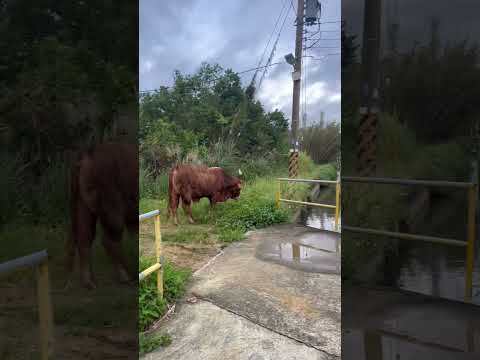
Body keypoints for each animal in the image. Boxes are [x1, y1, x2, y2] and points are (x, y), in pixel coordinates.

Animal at [64, 142, 138, 288]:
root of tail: (88, 154)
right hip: (111, 204)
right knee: (109, 239)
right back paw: (125, 276)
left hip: (82, 204)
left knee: (84, 237)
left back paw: (89, 282)